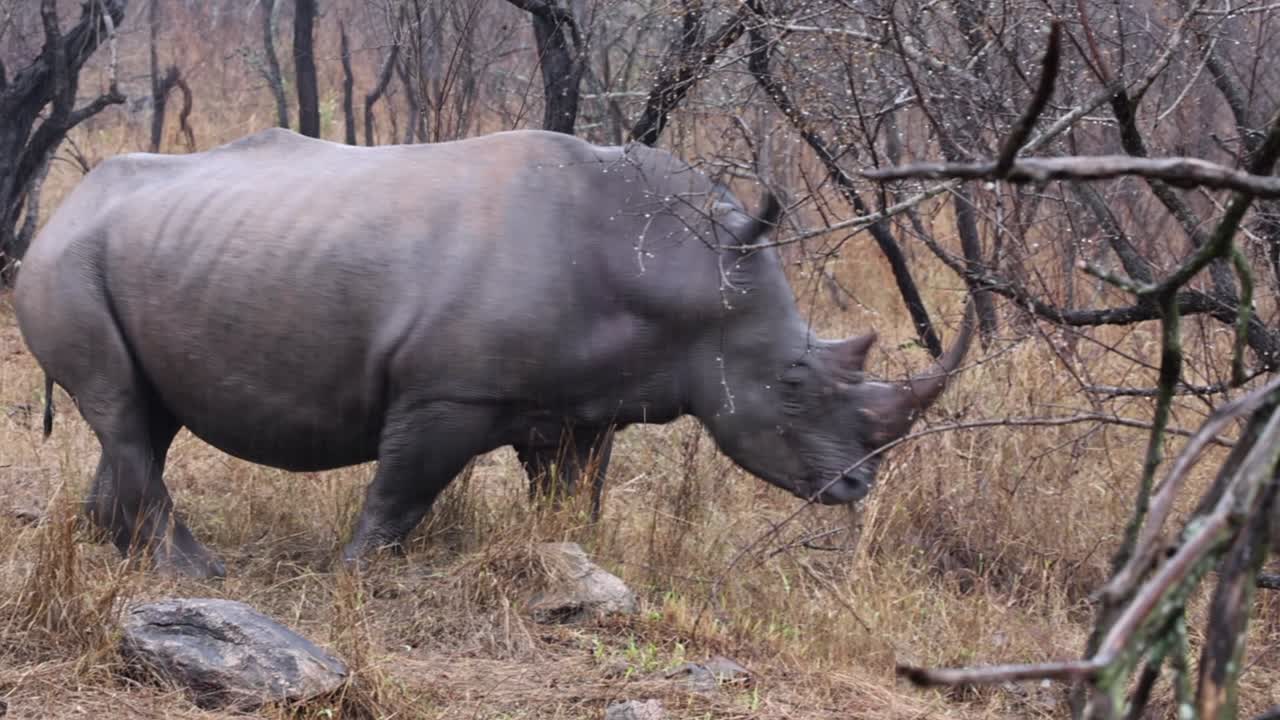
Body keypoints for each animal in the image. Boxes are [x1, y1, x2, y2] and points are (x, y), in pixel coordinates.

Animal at [14, 128, 973, 578]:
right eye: (792, 382)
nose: (857, 487)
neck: (682, 271)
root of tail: (62, 208)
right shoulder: (448, 393)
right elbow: (399, 493)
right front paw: (355, 574)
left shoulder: (584, 404)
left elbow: (572, 495)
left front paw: (570, 561)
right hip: (65, 262)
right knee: (125, 412)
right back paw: (196, 568)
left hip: (137, 251)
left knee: (145, 418)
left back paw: (116, 555)